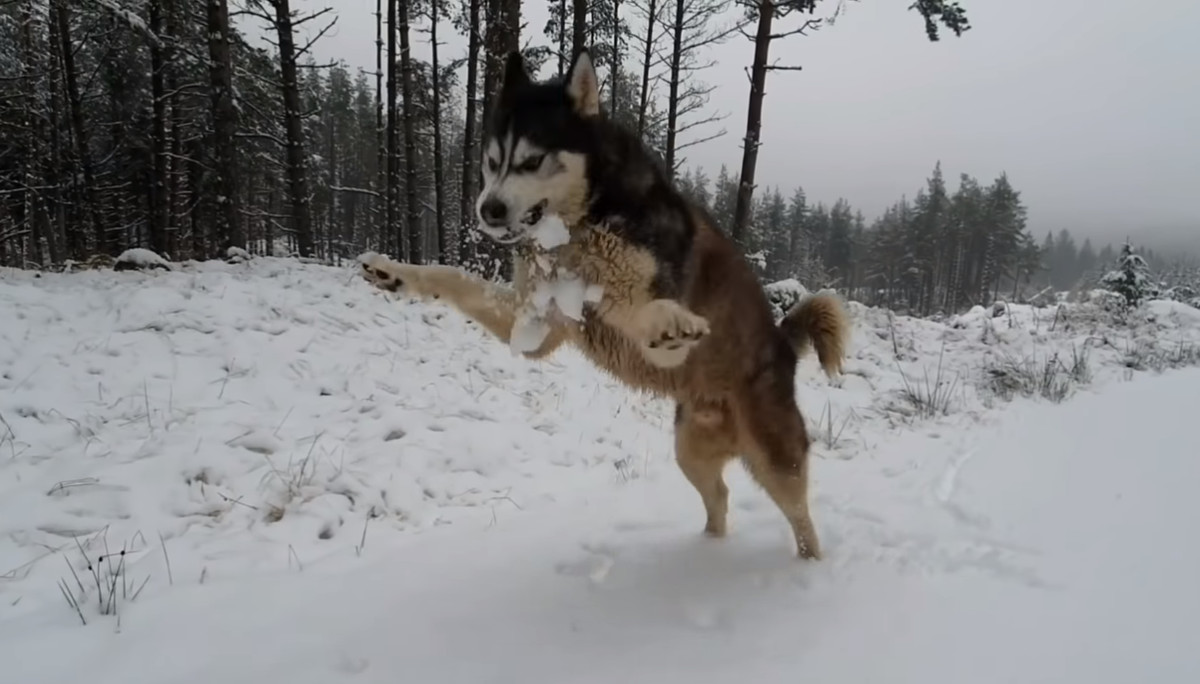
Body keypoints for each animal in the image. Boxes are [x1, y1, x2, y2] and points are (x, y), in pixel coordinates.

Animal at [360, 49, 849, 559]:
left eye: (532, 160)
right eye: (492, 162)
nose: (488, 209)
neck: (579, 228)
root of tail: (784, 344)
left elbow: (639, 310)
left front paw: (668, 321)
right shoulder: (532, 323)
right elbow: (451, 278)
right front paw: (394, 272)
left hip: (777, 459)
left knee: (801, 519)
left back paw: (807, 566)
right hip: (690, 451)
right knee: (719, 496)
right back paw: (703, 549)